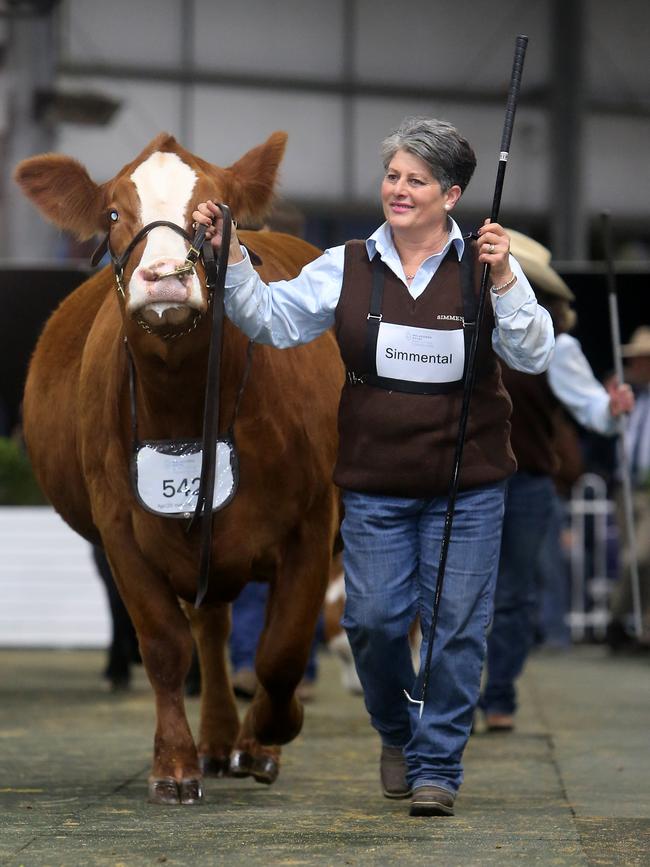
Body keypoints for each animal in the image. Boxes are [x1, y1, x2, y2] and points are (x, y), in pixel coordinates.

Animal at [15, 131, 342, 808]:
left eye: (215, 212)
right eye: (114, 213)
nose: (166, 277)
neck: (187, 404)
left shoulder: (313, 520)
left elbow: (283, 649)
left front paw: (270, 732)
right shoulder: (119, 527)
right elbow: (166, 646)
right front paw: (173, 764)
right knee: (210, 628)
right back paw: (215, 740)